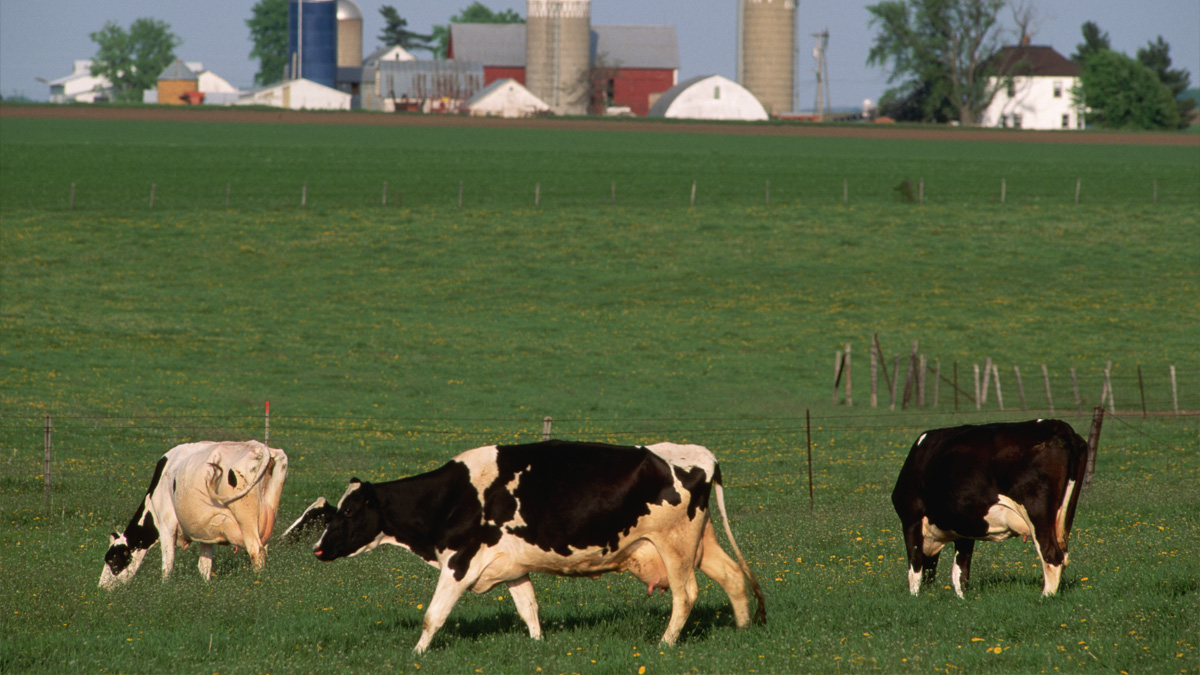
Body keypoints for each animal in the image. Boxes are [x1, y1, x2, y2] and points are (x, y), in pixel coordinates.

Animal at [99, 440, 288, 589]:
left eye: (113, 560)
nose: (101, 588)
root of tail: (258, 446)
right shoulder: (207, 532)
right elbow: (204, 565)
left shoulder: (167, 524)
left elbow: (168, 563)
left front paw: (164, 589)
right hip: (267, 521)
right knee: (264, 550)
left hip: (246, 520)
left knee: (256, 551)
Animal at [295, 440, 765, 653]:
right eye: (334, 510)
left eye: (349, 511)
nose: (318, 549)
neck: (453, 497)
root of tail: (700, 454)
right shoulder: (513, 567)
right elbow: (529, 609)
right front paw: (538, 645)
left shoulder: (459, 562)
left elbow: (433, 616)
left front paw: (415, 654)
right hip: (701, 541)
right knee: (733, 578)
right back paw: (742, 631)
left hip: (676, 544)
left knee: (686, 594)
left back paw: (665, 644)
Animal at [891, 419, 1090, 598]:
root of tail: (1059, 426)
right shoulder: (965, 532)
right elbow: (960, 573)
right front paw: (961, 600)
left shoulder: (911, 520)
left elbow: (915, 569)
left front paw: (914, 598)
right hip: (1064, 515)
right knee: (1063, 555)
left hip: (1037, 513)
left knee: (1051, 555)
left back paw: (1044, 597)